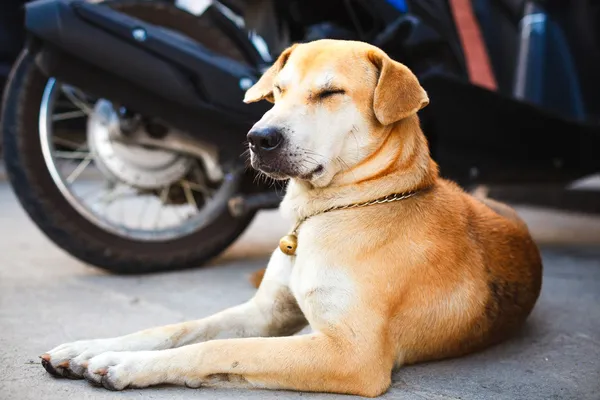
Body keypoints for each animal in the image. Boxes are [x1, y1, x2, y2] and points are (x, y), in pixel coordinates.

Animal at [38, 39, 544, 396]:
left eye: (330, 92)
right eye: (277, 92)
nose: (258, 138)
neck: (335, 209)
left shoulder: (350, 354)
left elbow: (222, 348)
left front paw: (127, 364)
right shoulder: (266, 314)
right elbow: (180, 328)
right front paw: (93, 346)